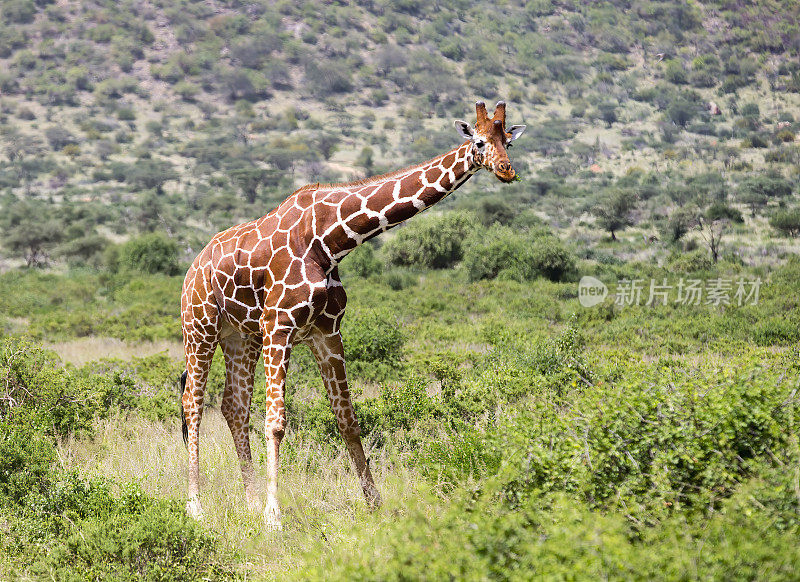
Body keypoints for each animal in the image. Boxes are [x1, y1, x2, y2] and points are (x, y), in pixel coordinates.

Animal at [184, 100, 528, 528]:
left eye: (508, 141)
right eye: (479, 142)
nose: (507, 170)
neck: (330, 241)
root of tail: (193, 265)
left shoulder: (326, 332)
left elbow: (347, 420)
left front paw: (374, 503)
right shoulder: (278, 324)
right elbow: (276, 422)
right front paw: (273, 517)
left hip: (240, 337)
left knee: (233, 407)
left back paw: (247, 501)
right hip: (199, 327)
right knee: (193, 404)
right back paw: (196, 506)